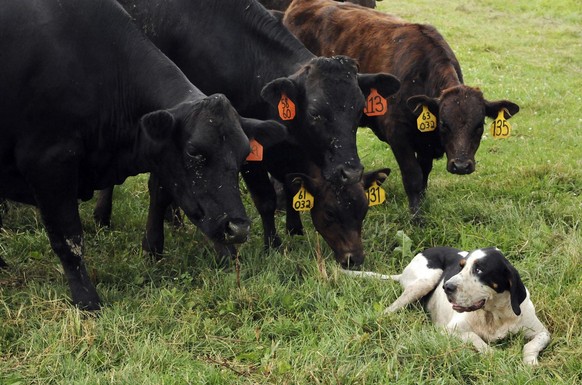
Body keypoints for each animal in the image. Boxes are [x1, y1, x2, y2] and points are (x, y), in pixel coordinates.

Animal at [0, 0, 286, 308]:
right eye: (194, 151)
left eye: (244, 153)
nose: (239, 228)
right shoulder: (48, 163)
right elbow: (69, 240)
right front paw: (87, 300)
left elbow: (161, 194)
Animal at [104, 0, 402, 268]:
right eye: (316, 113)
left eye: (359, 111)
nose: (350, 171)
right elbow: (264, 199)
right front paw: (272, 245)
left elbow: (290, 187)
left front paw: (294, 230)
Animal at [286, 0, 524, 214]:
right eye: (444, 124)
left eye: (479, 126)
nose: (461, 166)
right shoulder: (398, 135)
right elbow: (413, 177)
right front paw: (416, 217)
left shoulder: (426, 142)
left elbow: (424, 172)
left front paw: (423, 204)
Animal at [350, 246, 556, 364]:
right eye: (461, 266)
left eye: (479, 270)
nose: (446, 287)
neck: (494, 315)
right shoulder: (448, 331)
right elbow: (474, 337)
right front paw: (491, 353)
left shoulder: (542, 332)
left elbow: (531, 345)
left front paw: (529, 363)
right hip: (426, 280)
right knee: (389, 310)